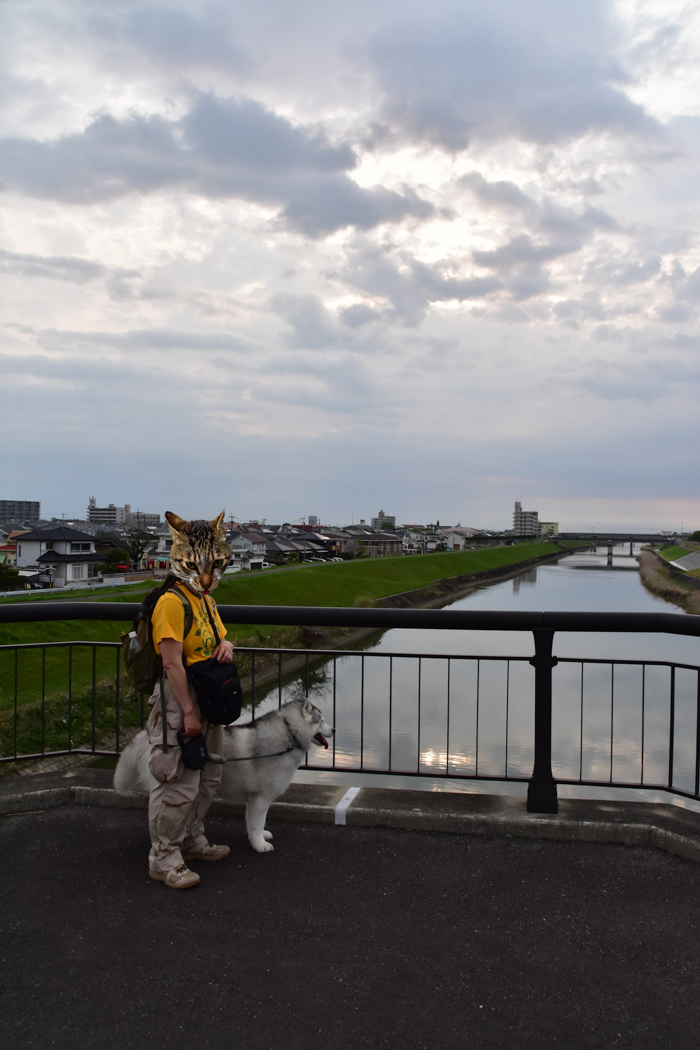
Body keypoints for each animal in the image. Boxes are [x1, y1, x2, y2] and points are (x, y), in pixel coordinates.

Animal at [114, 697, 333, 852]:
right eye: (321, 721)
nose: (334, 729)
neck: (290, 733)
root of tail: (147, 737)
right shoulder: (260, 797)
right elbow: (256, 822)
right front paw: (259, 844)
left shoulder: (256, 799)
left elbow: (257, 822)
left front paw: (261, 836)